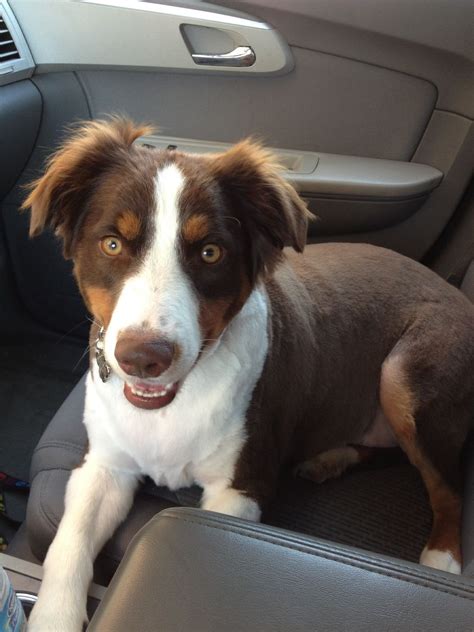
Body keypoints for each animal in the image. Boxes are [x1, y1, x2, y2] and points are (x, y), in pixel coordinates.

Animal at [23, 119, 474, 632]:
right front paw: (53, 616)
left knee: (447, 486)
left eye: (210, 252)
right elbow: (68, 545)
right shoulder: (103, 465)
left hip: (406, 374)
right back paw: (329, 458)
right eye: (112, 244)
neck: (171, 407)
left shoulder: (239, 490)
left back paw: (441, 559)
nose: (142, 358)